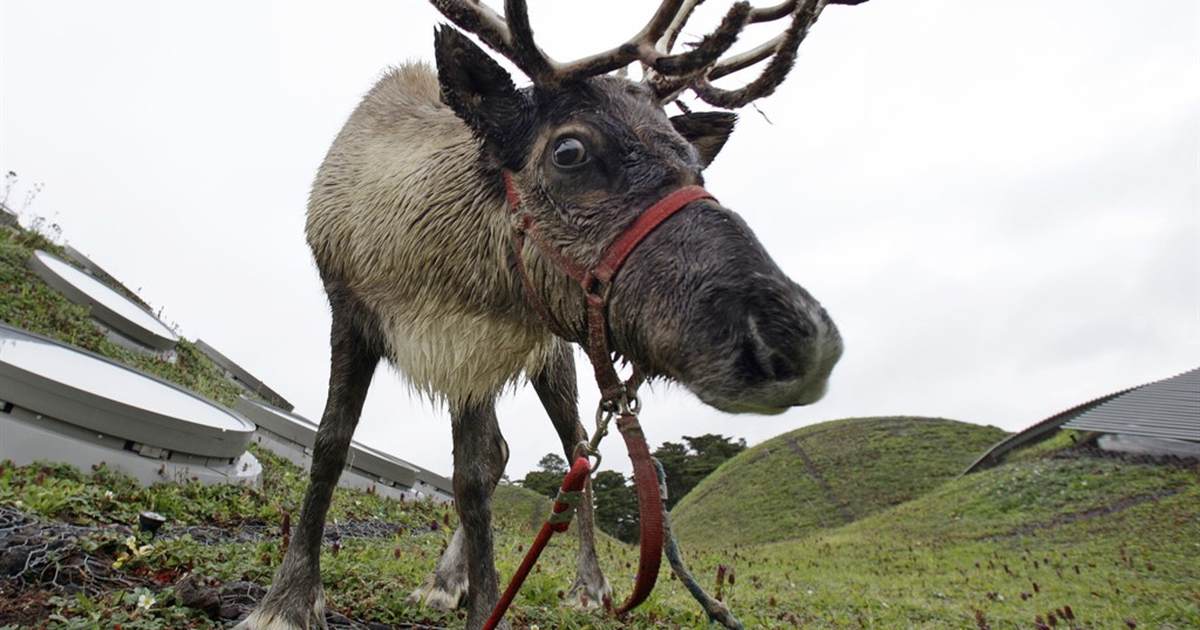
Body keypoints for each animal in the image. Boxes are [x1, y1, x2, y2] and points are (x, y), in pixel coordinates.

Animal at [238, 1, 858, 628]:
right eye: (569, 151)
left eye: (695, 166)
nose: (803, 341)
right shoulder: (359, 315)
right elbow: (332, 446)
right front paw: (286, 601)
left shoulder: (478, 349)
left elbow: (470, 478)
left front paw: (486, 606)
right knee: (505, 453)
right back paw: (446, 580)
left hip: (557, 354)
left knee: (575, 444)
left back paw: (586, 584)